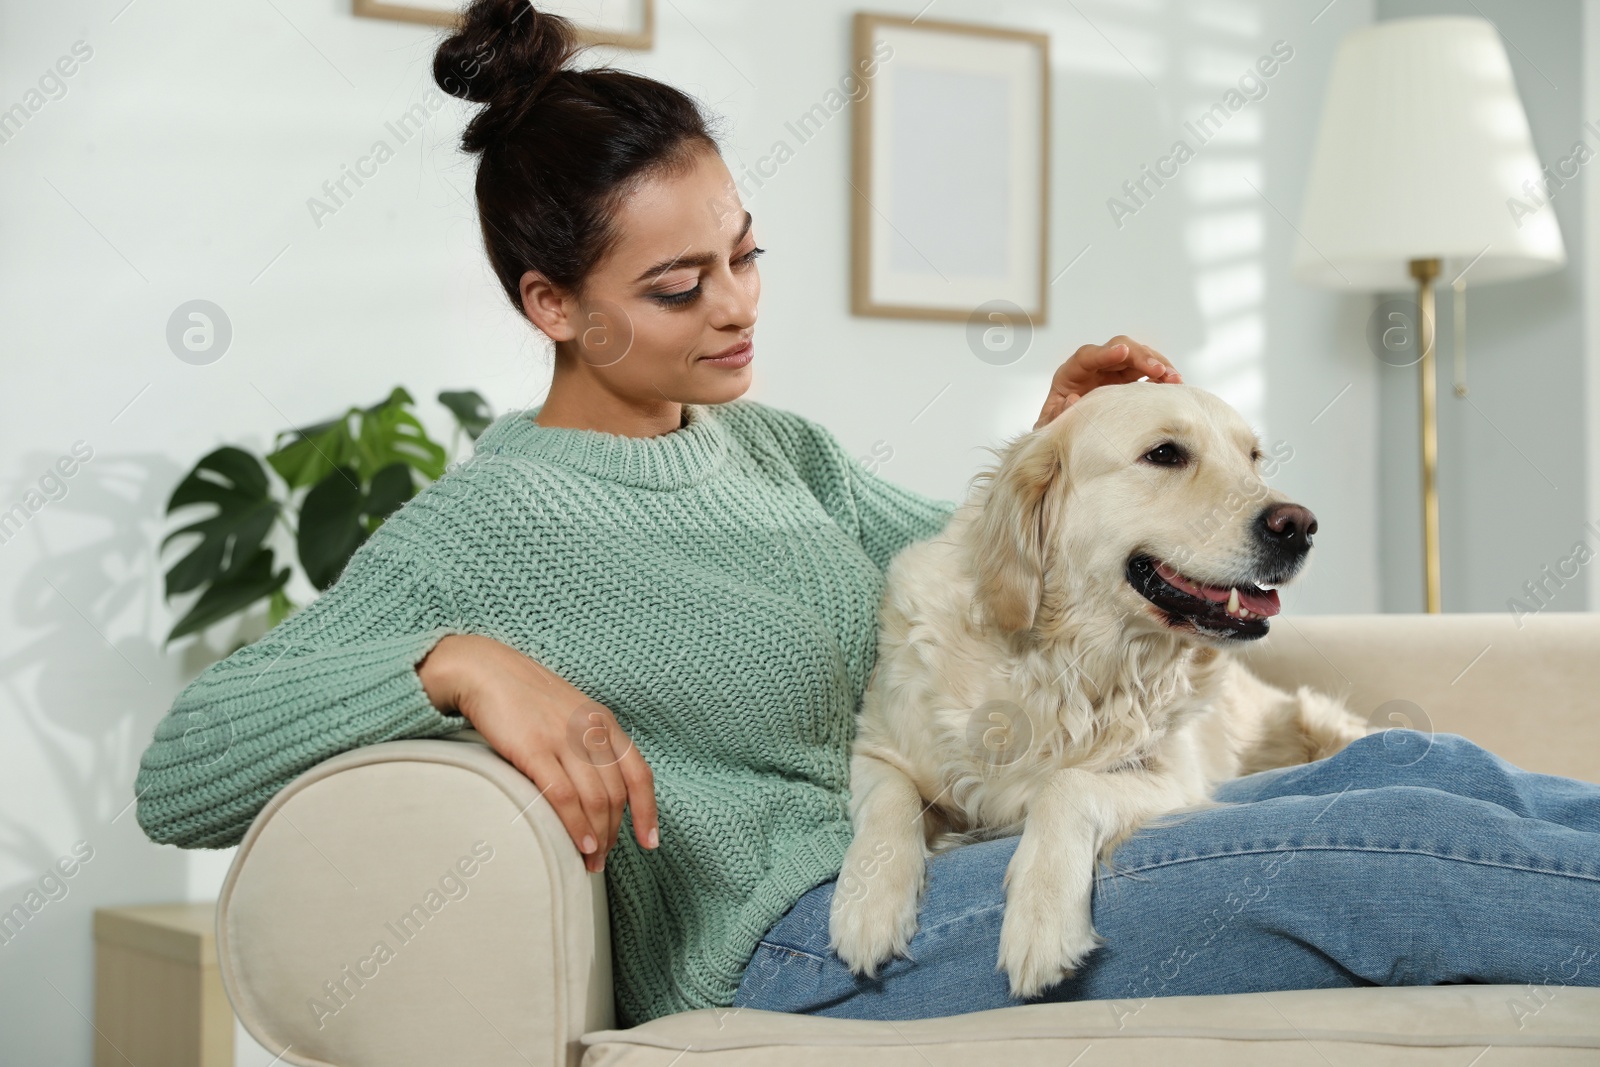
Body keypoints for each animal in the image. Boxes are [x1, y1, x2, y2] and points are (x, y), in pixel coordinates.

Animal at [832, 383, 1369, 1004]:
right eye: (1164, 454)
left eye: (1254, 459)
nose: (1300, 525)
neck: (1069, 661)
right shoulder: (878, 746)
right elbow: (890, 800)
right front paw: (867, 901)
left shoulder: (1174, 777)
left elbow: (1065, 784)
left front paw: (1041, 919)